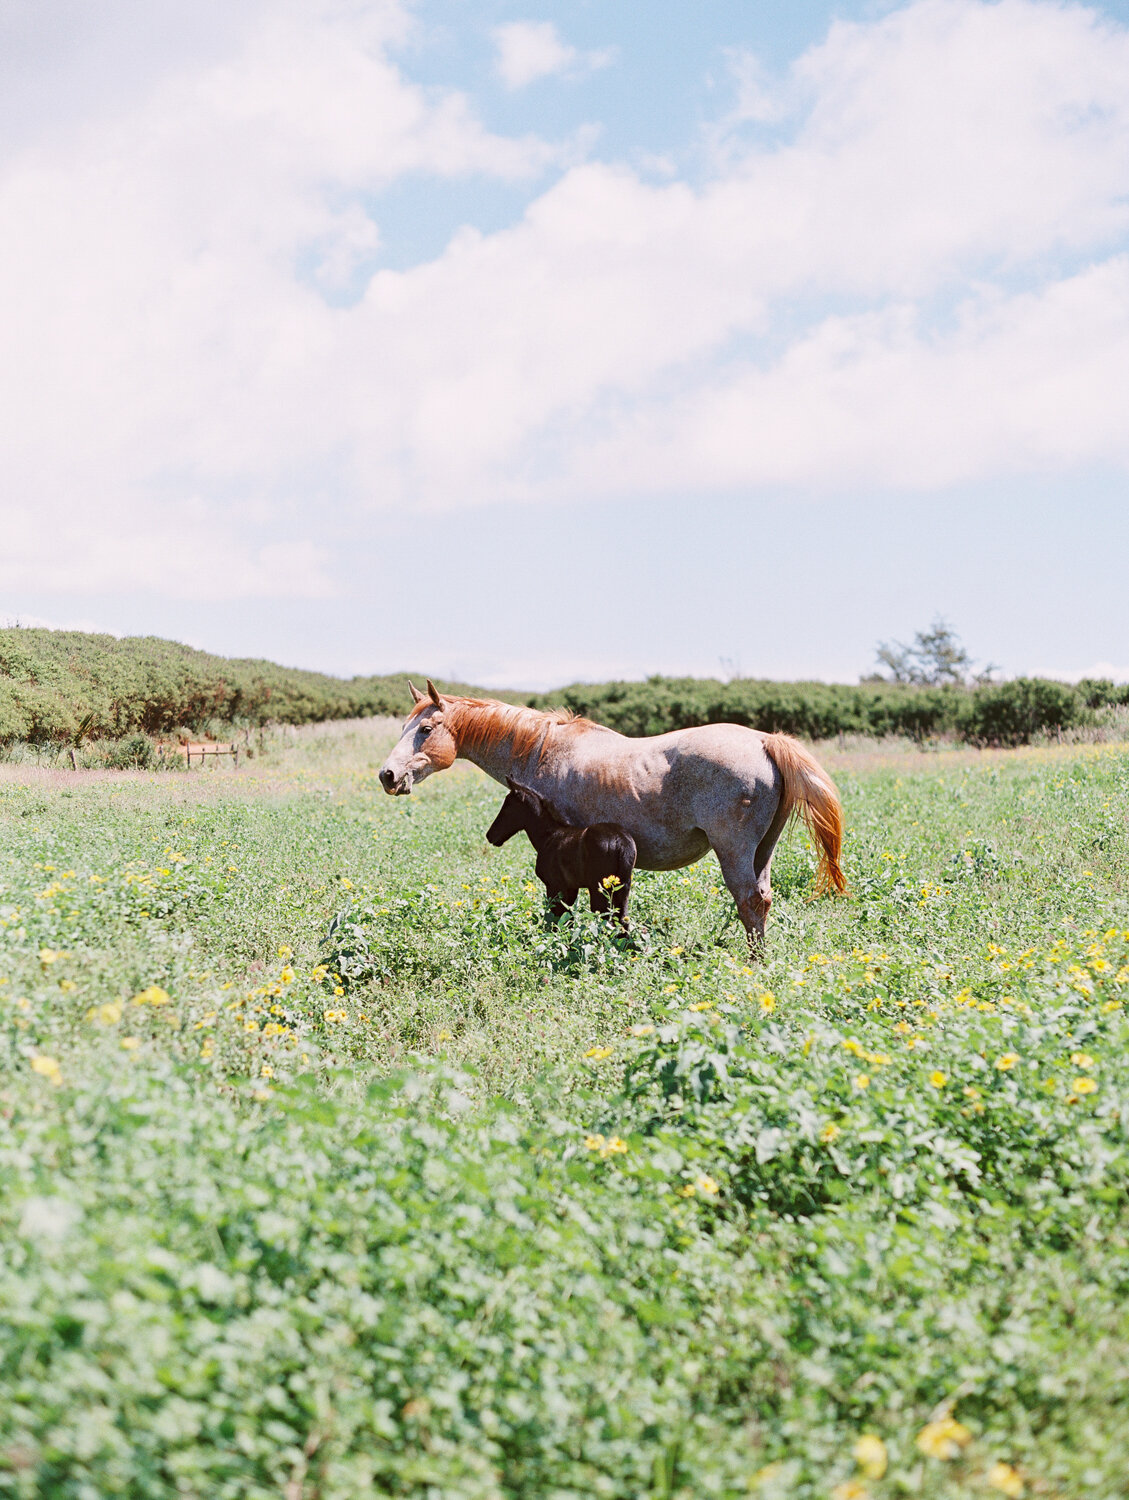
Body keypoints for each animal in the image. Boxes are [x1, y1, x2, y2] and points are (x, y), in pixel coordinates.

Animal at [485, 780, 638, 930]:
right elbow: (568, 920)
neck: (548, 836)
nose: (490, 835)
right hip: (622, 889)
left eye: (508, 806)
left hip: (600, 890)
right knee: (622, 922)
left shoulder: (555, 886)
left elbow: (555, 919)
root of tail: (621, 841)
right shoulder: (571, 888)